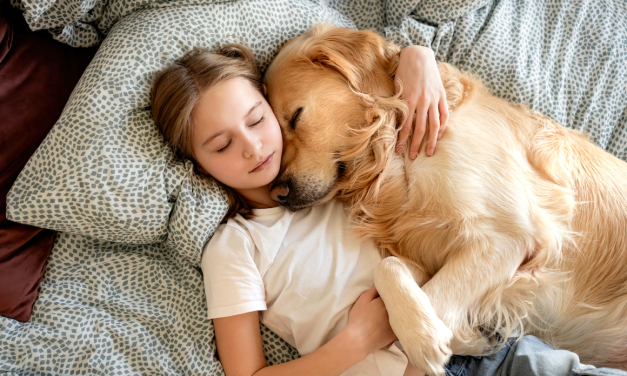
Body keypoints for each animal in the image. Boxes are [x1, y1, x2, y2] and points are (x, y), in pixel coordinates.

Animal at [264, 25, 627, 374]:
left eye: (295, 117)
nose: (277, 192)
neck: (394, 152)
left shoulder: (508, 238)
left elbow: (435, 302)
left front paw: (425, 338)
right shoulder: (430, 256)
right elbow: (387, 266)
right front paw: (470, 337)